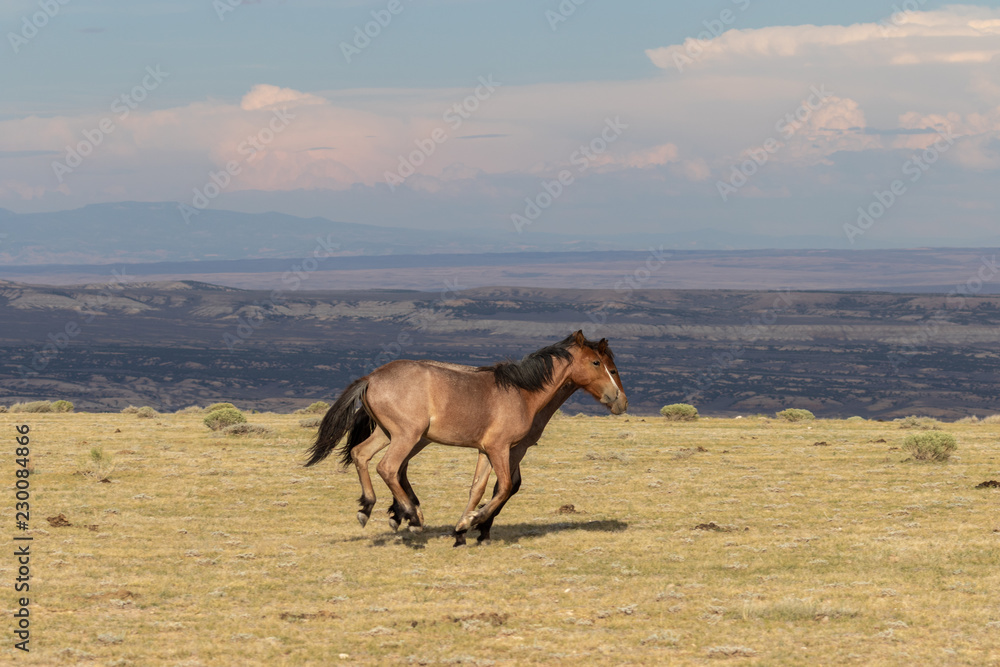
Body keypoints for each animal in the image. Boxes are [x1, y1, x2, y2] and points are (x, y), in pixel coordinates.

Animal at [304, 331, 627, 543]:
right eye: (597, 363)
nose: (620, 401)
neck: (523, 393)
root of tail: (371, 378)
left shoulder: (491, 450)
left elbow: (480, 488)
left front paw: (463, 528)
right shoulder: (501, 448)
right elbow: (505, 487)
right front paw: (475, 523)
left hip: (389, 434)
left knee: (361, 454)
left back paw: (368, 508)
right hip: (408, 436)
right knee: (389, 467)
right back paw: (411, 517)